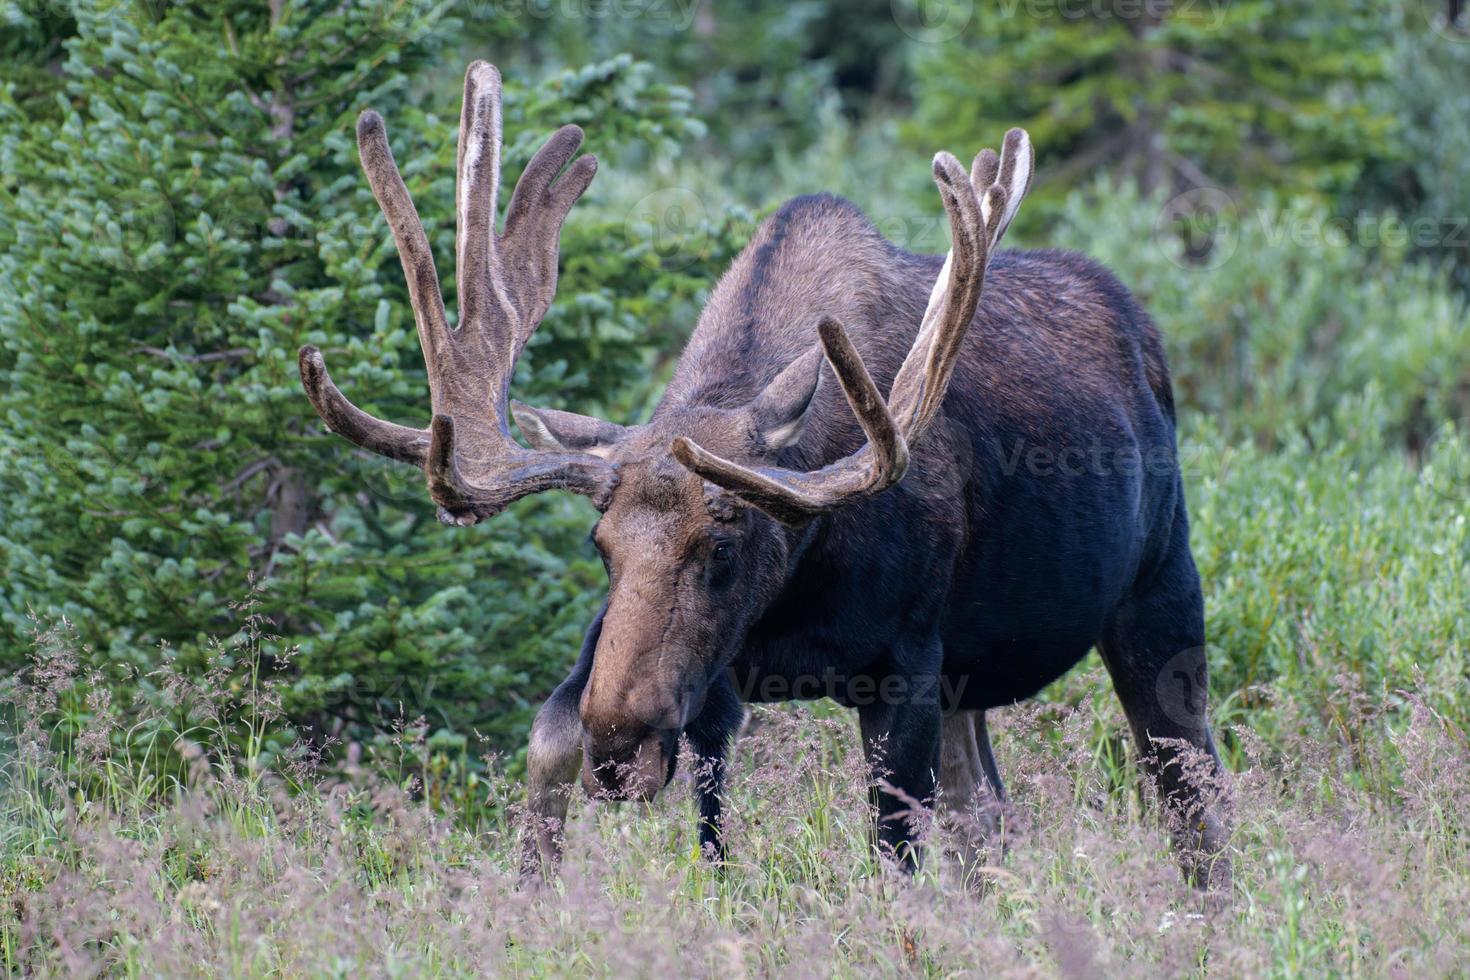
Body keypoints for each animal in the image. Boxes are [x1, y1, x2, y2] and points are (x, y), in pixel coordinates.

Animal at [298, 63, 1228, 887]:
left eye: (722, 546)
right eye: (601, 548)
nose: (619, 751)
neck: (798, 586)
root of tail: (1144, 336)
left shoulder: (907, 663)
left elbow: (894, 855)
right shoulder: (696, 677)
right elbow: (559, 749)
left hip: (1158, 590)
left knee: (1192, 795)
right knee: (988, 817)